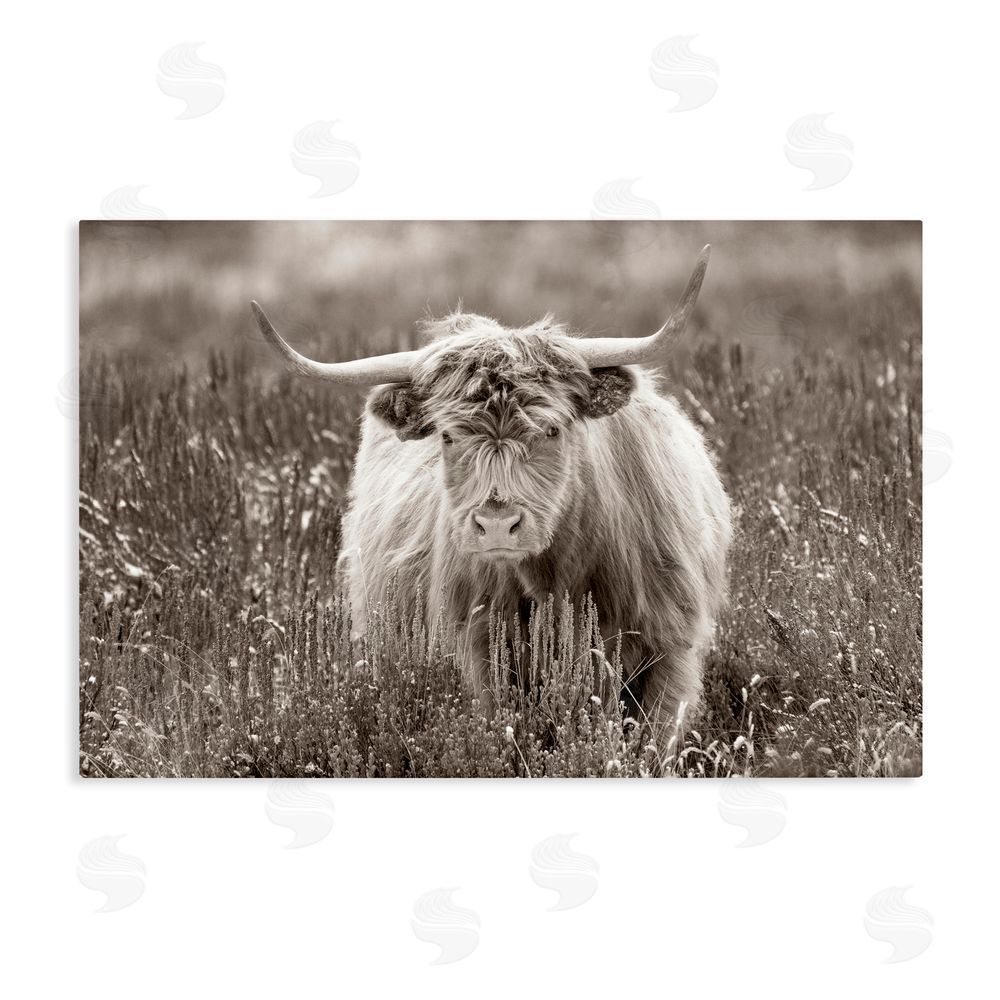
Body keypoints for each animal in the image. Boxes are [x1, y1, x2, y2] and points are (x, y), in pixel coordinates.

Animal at [251, 245, 732, 762]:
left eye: (552, 429)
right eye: (448, 436)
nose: (498, 525)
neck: (557, 581)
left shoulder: (670, 647)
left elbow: (652, 740)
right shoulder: (480, 650)